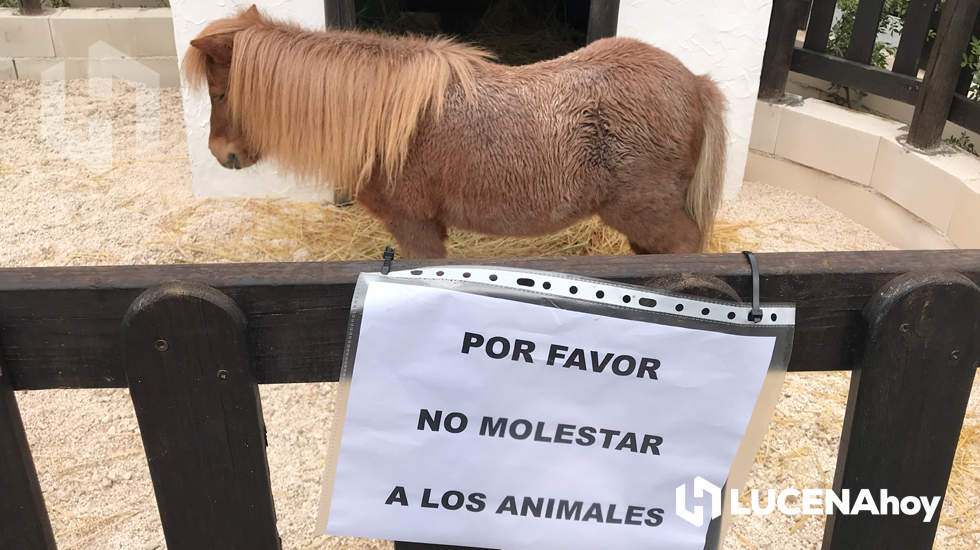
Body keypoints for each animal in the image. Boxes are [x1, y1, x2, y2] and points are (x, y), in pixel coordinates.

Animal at [186, 4, 728, 258]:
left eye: (220, 93)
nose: (222, 154)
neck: (385, 121)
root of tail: (694, 83)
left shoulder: (415, 227)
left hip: (649, 216)